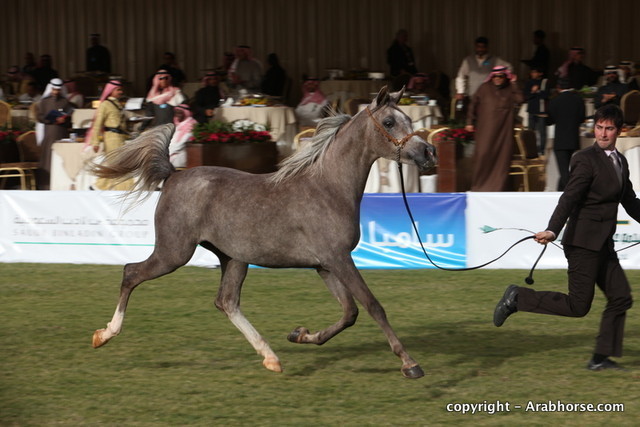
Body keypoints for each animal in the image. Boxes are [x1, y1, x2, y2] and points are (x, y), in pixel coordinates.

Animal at [90, 86, 436, 379]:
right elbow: (372, 305)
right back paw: (104, 334)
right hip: (174, 252)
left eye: (410, 120)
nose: (429, 153)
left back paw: (271, 357)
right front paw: (410, 364)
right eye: (390, 122)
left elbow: (349, 312)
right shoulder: (338, 259)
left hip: (233, 258)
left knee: (226, 301)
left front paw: (300, 334)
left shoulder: (325, 264)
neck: (329, 188)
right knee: (131, 272)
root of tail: (174, 175)